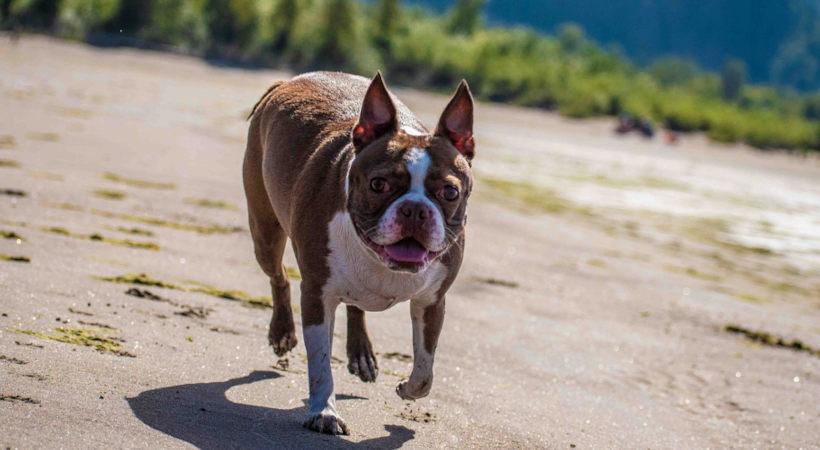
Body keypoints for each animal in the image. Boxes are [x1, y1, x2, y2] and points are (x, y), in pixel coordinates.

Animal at [243, 72, 474, 434]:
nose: (415, 209)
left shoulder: (432, 302)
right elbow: (320, 363)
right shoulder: (316, 294)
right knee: (279, 277)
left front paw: (406, 389)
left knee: (355, 305)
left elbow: (425, 372)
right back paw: (282, 332)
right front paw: (324, 411)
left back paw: (361, 354)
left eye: (450, 192)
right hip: (264, 230)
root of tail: (286, 81)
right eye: (378, 184)